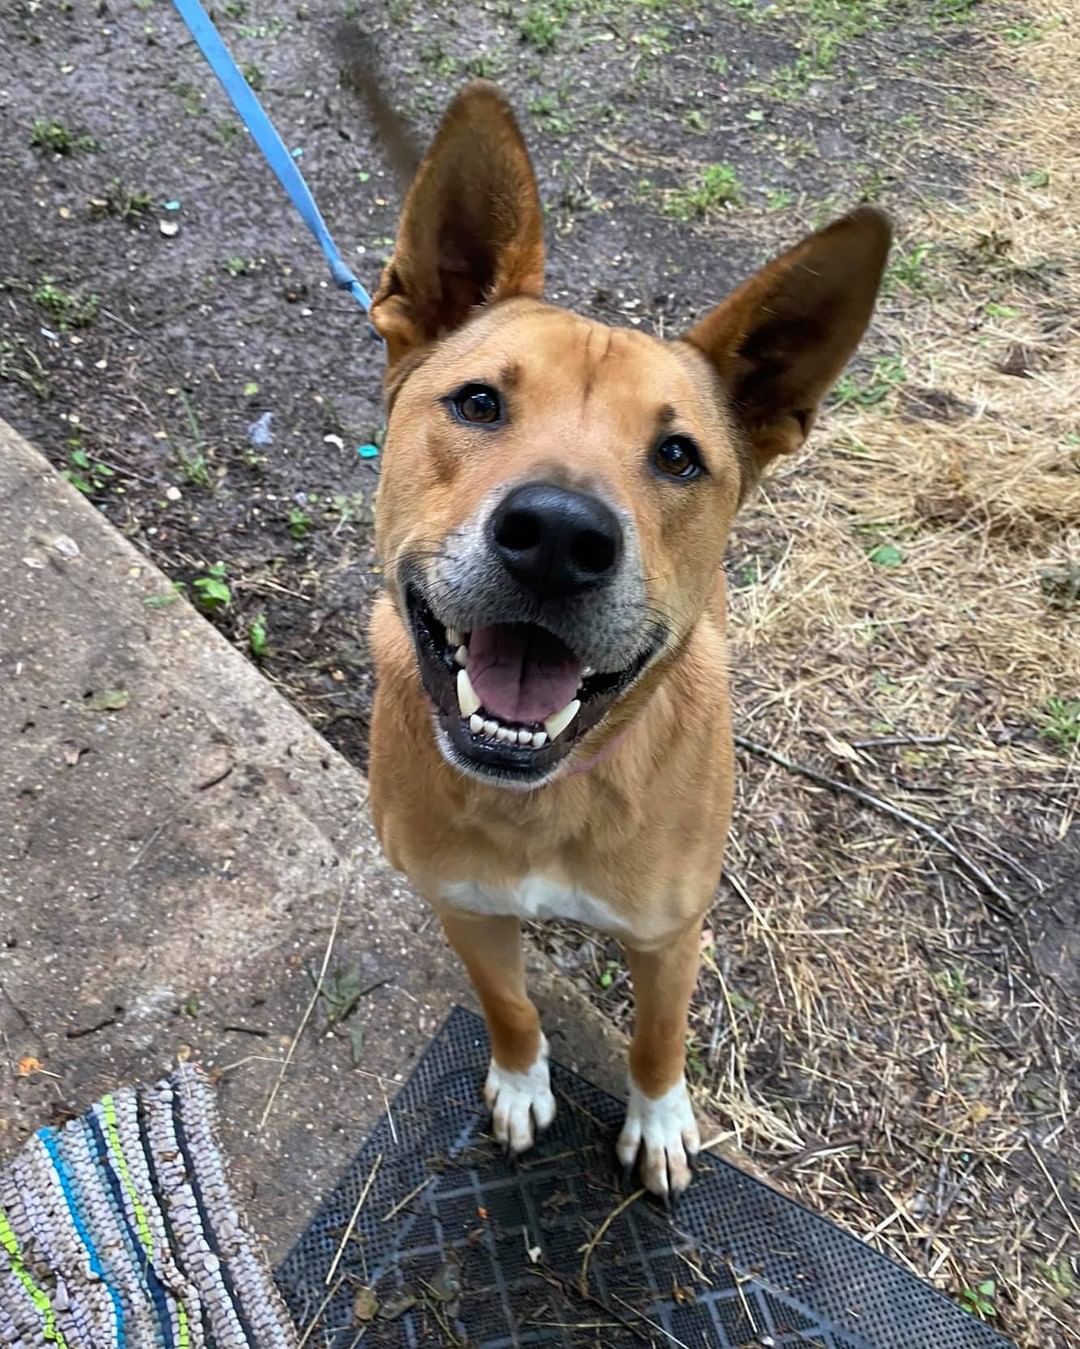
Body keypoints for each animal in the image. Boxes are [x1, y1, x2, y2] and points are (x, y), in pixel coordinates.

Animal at [366, 78, 889, 1197]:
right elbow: (509, 1002)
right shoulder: (463, 907)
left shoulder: (671, 934)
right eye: (479, 400)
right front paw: (522, 1079)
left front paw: (656, 1121)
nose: (560, 538)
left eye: (679, 456)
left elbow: (656, 1037)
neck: (540, 795)